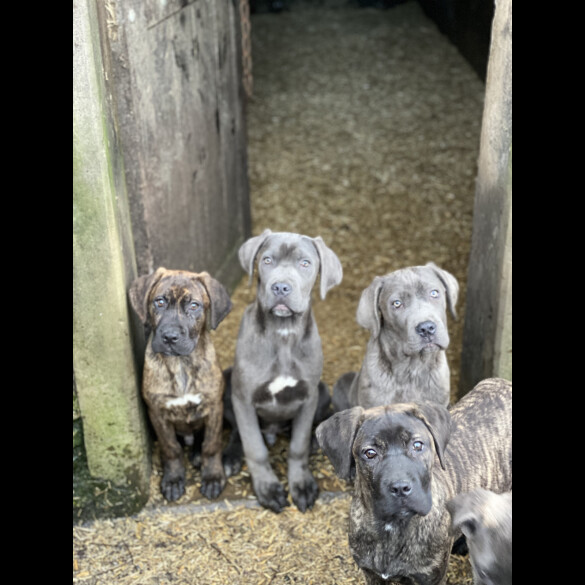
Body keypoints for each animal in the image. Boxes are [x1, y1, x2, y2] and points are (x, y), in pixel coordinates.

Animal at [129, 266, 232, 500]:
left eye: (194, 306)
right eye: (159, 302)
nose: (169, 337)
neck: (180, 365)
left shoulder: (214, 407)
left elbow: (211, 444)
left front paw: (212, 476)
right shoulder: (158, 413)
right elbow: (171, 448)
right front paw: (174, 479)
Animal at [225, 228, 342, 512]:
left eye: (305, 263)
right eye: (267, 260)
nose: (280, 287)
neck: (283, 333)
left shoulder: (308, 396)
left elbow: (297, 446)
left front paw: (301, 484)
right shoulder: (243, 397)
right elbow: (254, 447)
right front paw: (267, 488)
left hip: (323, 390)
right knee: (237, 431)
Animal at [314, 376, 512, 580]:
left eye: (417, 445)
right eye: (370, 453)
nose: (400, 488)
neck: (392, 528)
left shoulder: (432, 577)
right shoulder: (371, 574)